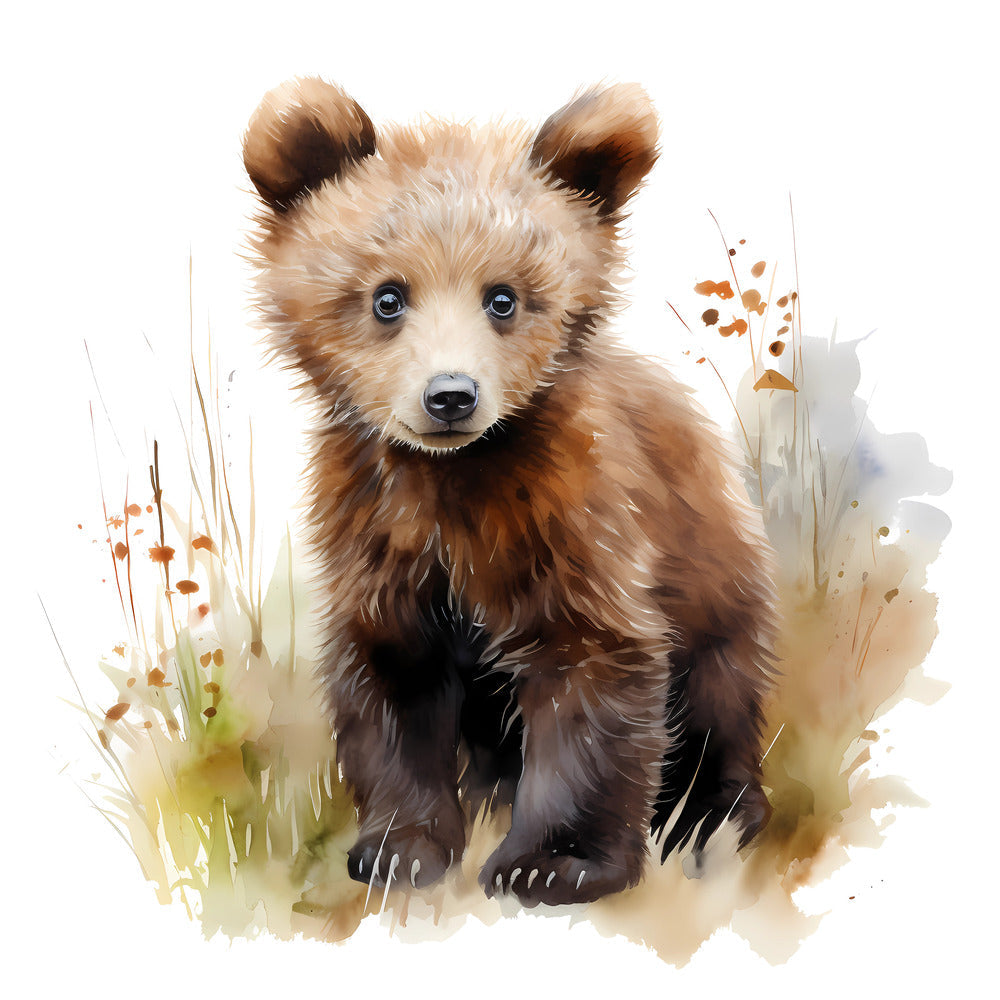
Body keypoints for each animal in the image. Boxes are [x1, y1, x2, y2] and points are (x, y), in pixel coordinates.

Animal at [243, 77, 777, 907]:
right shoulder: (381, 541)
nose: (450, 396)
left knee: (719, 710)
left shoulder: (576, 523)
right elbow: (392, 686)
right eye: (387, 296)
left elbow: (592, 671)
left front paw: (554, 861)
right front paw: (399, 850)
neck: (451, 480)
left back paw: (710, 822)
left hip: (717, 592)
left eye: (504, 297)